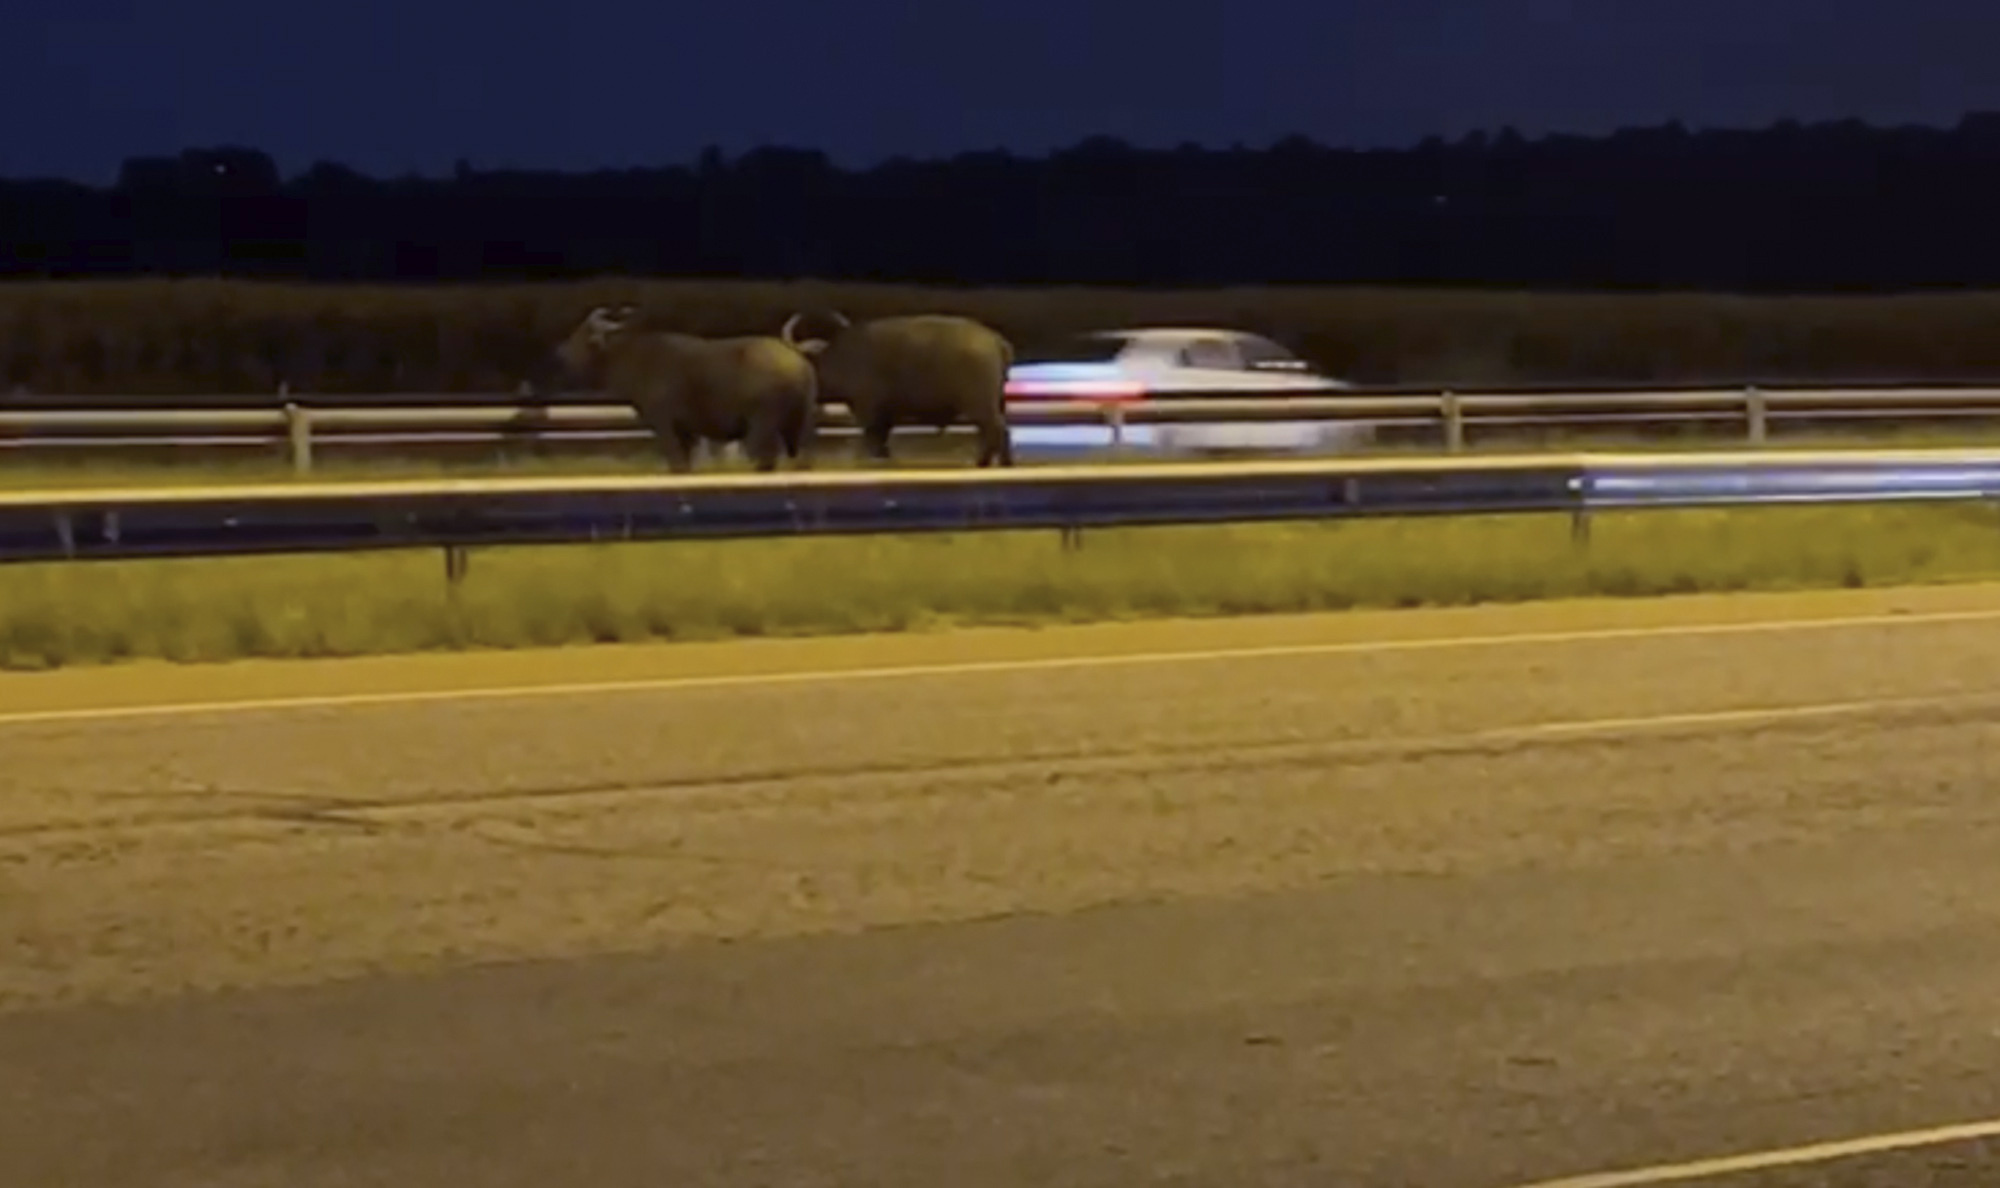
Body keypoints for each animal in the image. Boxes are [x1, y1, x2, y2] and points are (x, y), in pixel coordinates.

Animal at [556, 300, 820, 472]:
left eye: (583, 333)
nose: (563, 354)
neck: (637, 357)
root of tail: (795, 357)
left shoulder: (665, 425)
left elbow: (677, 463)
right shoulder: (688, 432)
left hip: (761, 427)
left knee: (765, 459)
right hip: (799, 425)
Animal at [780, 310, 1016, 468]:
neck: (841, 358)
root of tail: (994, 340)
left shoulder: (868, 412)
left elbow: (874, 440)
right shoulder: (886, 415)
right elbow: (883, 440)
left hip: (980, 405)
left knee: (996, 430)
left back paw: (983, 462)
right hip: (996, 403)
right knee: (998, 431)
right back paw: (1002, 462)